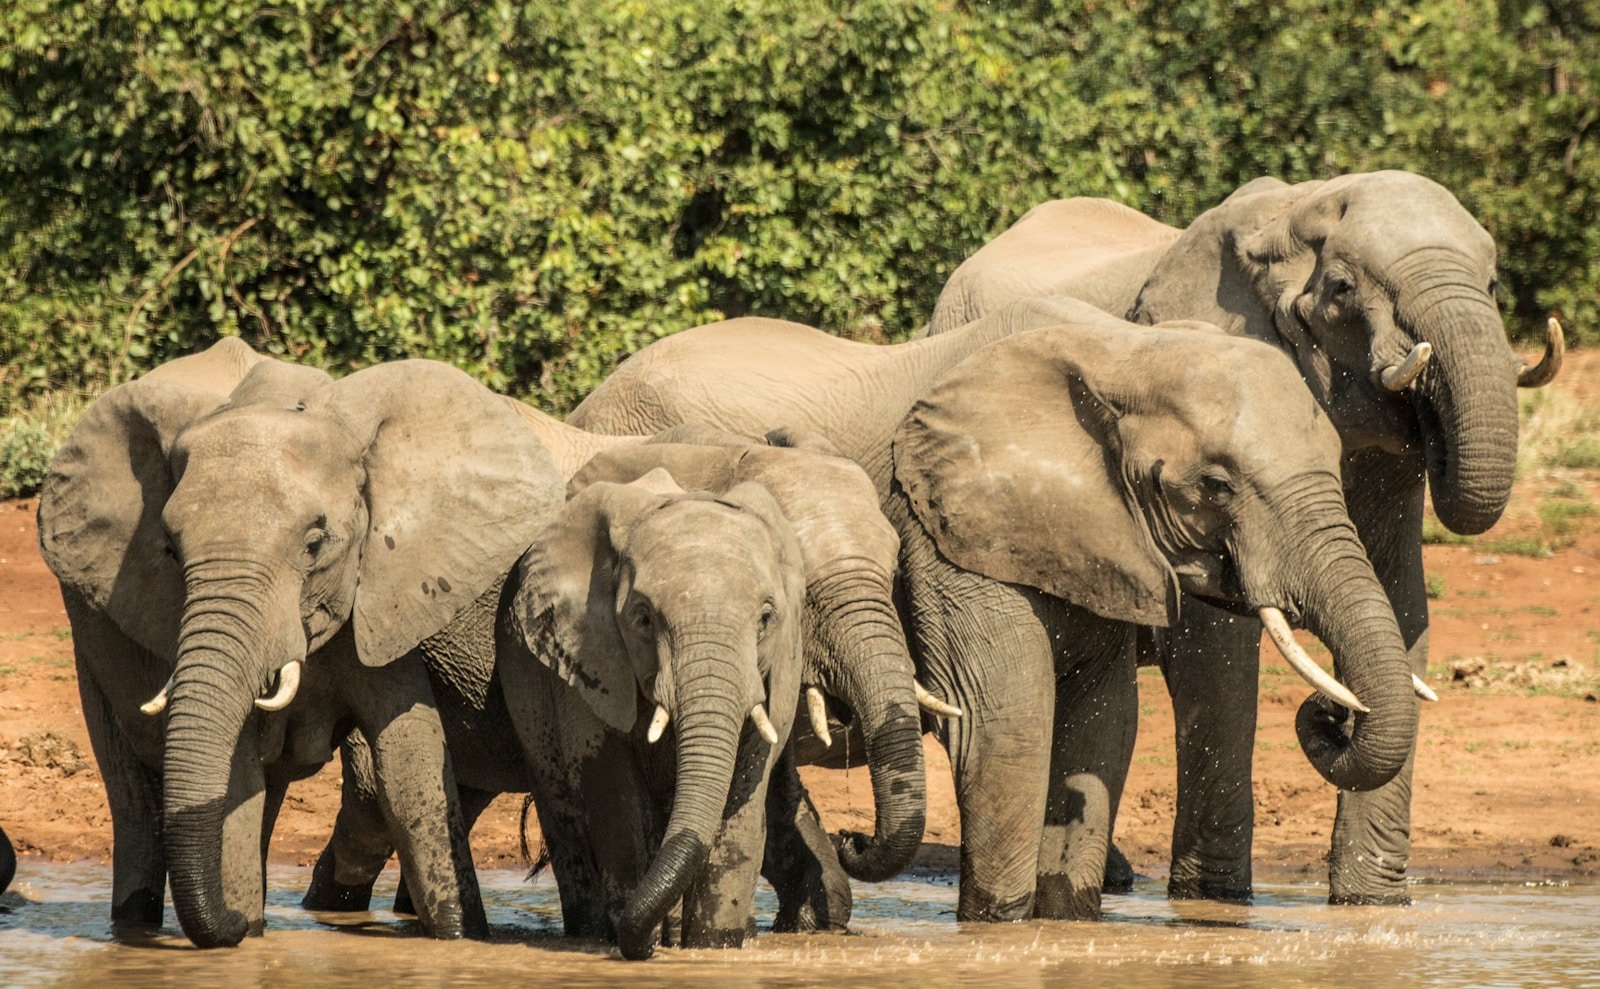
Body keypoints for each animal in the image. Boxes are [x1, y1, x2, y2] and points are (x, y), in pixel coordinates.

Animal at [37, 338, 563, 946]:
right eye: (168, 549)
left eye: (316, 543)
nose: (233, 923)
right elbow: (237, 773)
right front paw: (244, 931)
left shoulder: (380, 591)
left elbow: (409, 760)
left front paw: (457, 937)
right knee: (135, 801)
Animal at [499, 468, 807, 958]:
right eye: (643, 618)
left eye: (766, 618)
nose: (641, 946)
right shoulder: (586, 659)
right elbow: (613, 793)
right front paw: (638, 940)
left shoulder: (778, 670)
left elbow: (745, 794)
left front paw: (711, 947)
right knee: (567, 824)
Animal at [569, 299, 1421, 922]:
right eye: (1214, 484)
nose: (1331, 714)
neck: (1121, 352)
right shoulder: (945, 528)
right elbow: (1007, 715)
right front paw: (999, 925)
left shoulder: (1095, 534)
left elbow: (1103, 721)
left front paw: (1066, 917)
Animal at [924, 170, 1563, 903]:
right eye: (1341, 288)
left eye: (1493, 284)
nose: (1333, 714)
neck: (1292, 211)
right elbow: (1216, 646)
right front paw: (1216, 901)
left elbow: (1404, 608)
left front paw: (1373, 903)